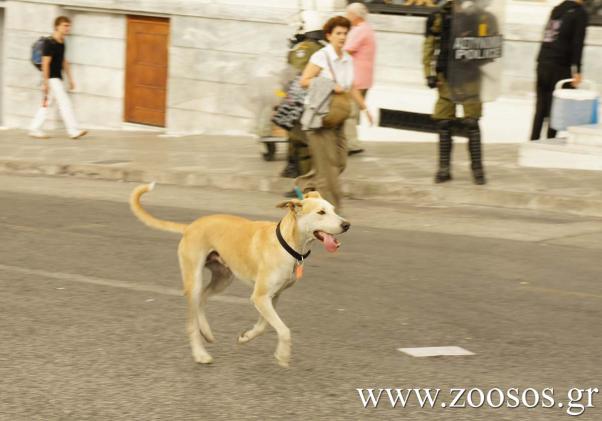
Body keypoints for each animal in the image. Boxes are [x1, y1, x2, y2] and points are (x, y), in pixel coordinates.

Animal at [129, 182, 350, 366]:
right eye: (321, 212)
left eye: (333, 209)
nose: (346, 224)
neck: (287, 244)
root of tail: (190, 226)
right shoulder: (260, 297)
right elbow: (284, 330)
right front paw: (283, 355)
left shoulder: (272, 296)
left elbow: (264, 326)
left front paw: (245, 337)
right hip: (195, 279)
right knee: (191, 321)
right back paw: (200, 354)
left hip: (223, 278)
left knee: (203, 298)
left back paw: (207, 332)